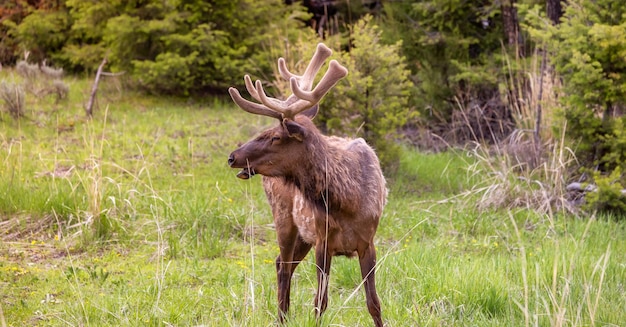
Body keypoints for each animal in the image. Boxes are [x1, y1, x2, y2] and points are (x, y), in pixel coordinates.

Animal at [227, 43, 386, 327]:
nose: (233, 156)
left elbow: (374, 303)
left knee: (284, 263)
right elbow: (320, 302)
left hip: (303, 235)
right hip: (284, 219)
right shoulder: (323, 240)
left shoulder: (368, 241)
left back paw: (285, 315)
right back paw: (281, 317)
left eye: (276, 137)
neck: (348, 203)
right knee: (283, 264)